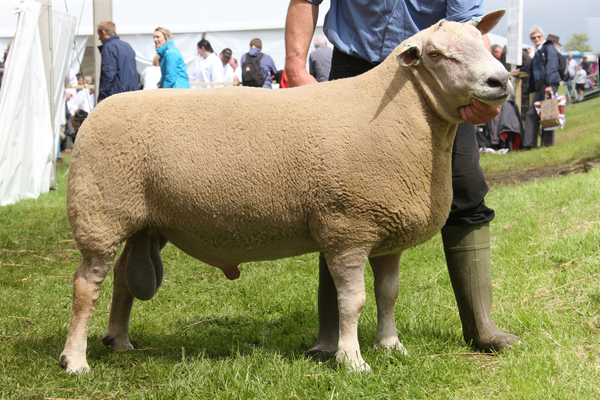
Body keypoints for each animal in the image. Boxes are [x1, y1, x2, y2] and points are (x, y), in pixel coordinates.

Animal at [59, 10, 510, 376]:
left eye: (483, 41)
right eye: (436, 54)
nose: (501, 80)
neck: (398, 117)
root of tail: (96, 111)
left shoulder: (385, 233)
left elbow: (388, 294)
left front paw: (390, 346)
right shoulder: (349, 226)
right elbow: (353, 300)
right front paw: (353, 360)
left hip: (140, 221)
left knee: (120, 279)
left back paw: (118, 340)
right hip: (100, 213)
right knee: (86, 285)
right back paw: (75, 360)